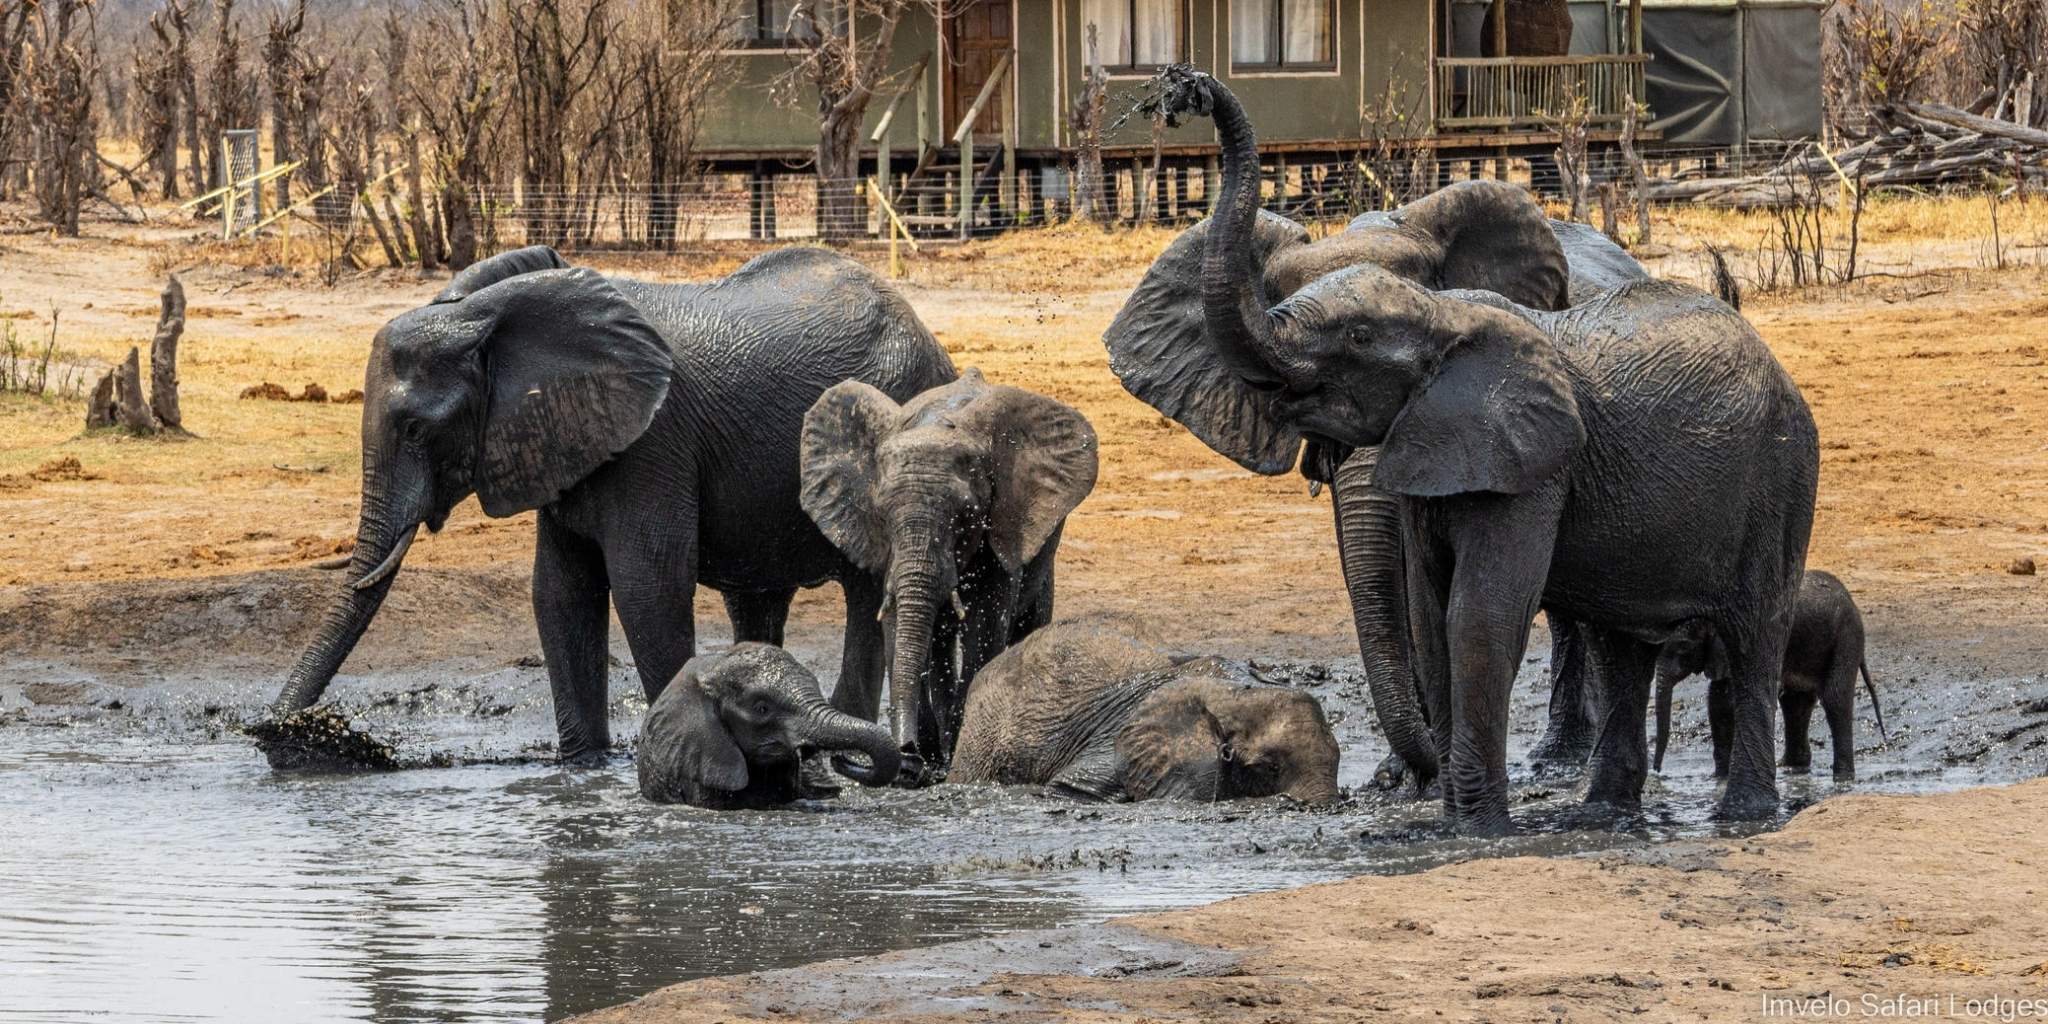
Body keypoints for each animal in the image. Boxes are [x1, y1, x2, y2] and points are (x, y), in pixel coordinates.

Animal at [266, 245, 956, 780]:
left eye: (414, 430)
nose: (286, 740)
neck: (482, 316)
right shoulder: (562, 441)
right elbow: (560, 593)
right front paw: (583, 767)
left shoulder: (654, 442)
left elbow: (646, 586)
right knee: (758, 599)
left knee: (864, 592)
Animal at [799, 368, 1099, 764]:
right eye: (881, 513)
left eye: (966, 516)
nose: (905, 751)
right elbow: (898, 623)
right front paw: (924, 756)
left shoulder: (1001, 521)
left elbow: (984, 625)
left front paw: (952, 749)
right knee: (940, 638)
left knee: (1027, 618)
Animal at [1105, 69, 1818, 833]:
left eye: (1357, 338)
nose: (1189, 90)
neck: (1441, 319)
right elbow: (1426, 611)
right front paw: (1438, 810)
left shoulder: (1525, 457)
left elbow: (1476, 619)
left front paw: (1474, 827)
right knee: (1620, 641)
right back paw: (1601, 814)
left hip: (1782, 476)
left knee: (1751, 635)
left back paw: (1732, 813)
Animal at [1654, 569, 1890, 780]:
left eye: (1683, 647)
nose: (1657, 771)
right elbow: (1719, 700)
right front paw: (1718, 777)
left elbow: (1731, 699)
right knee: (1795, 702)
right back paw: (1793, 768)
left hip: (1846, 637)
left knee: (1835, 698)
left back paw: (1842, 778)